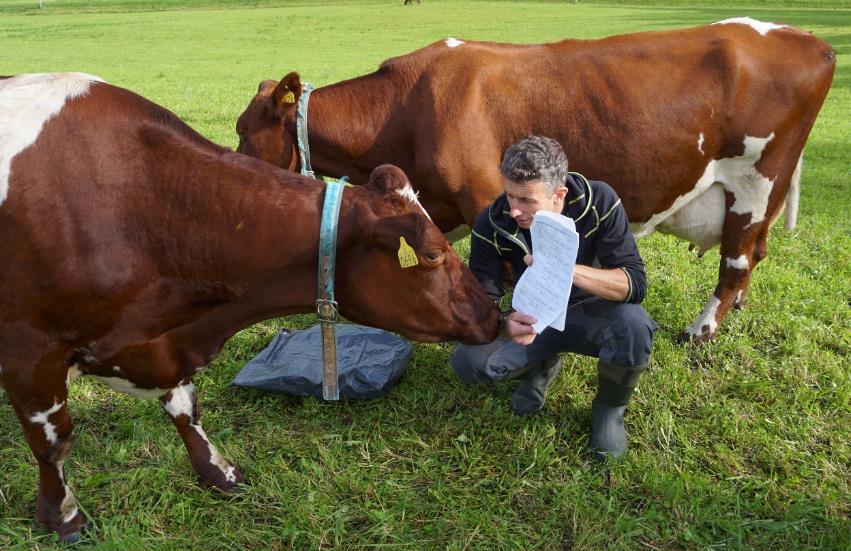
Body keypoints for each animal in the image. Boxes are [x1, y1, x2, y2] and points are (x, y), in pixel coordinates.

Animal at [0, 73, 500, 544]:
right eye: (432, 255)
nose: (492, 315)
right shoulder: (29, 351)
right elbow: (53, 443)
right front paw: (64, 518)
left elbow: (186, 408)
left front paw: (219, 473)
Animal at [236, 19, 836, 342]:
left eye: (244, 131)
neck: (404, 108)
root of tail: (810, 38)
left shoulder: (483, 195)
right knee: (751, 256)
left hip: (756, 182)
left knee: (737, 260)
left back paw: (701, 330)